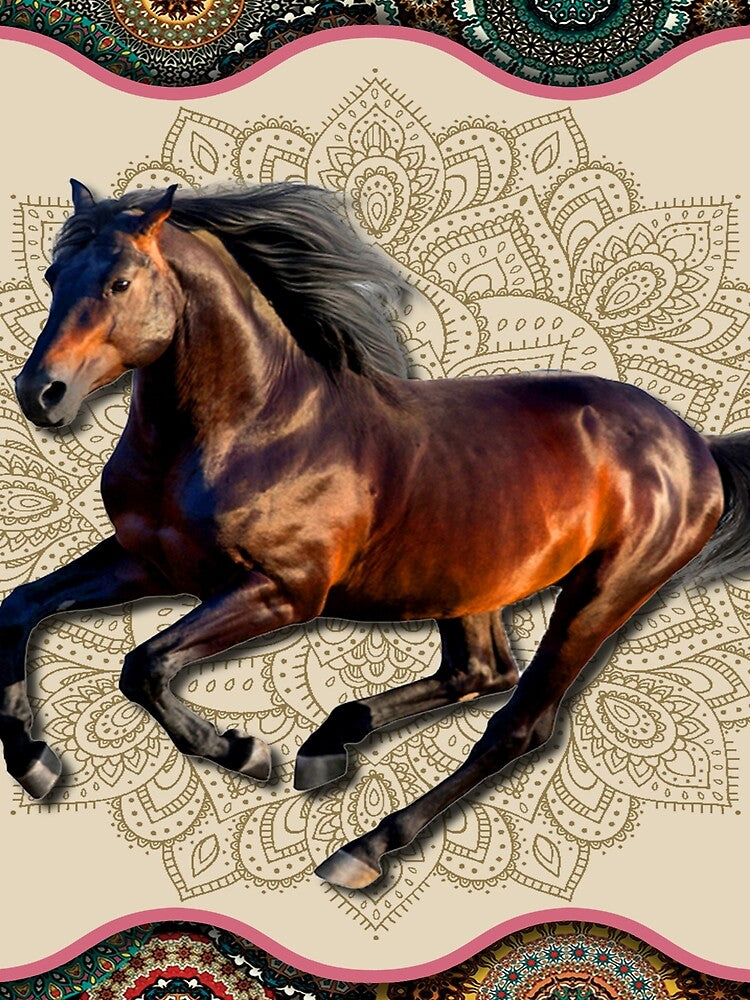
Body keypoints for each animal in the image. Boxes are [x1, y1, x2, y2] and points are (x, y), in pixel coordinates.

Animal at [3, 179, 750, 890]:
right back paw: (330, 744)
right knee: (480, 672)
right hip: (474, 581)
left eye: (119, 281)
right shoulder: (148, 563)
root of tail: (695, 445)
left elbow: (145, 664)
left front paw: (245, 752)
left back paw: (364, 847)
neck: (253, 425)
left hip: (602, 593)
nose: (40, 393)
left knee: (517, 724)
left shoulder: (284, 590)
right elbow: (22, 607)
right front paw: (34, 762)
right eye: (53, 275)